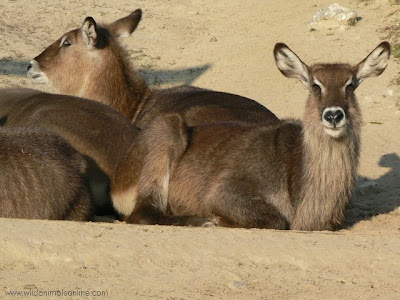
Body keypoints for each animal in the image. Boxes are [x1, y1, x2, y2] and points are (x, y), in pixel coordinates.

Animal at [121, 41, 390, 230]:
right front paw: (217, 220)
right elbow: (276, 220)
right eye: (315, 84)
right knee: (141, 213)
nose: (333, 115)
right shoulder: (223, 192)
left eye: (350, 84)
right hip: (168, 127)